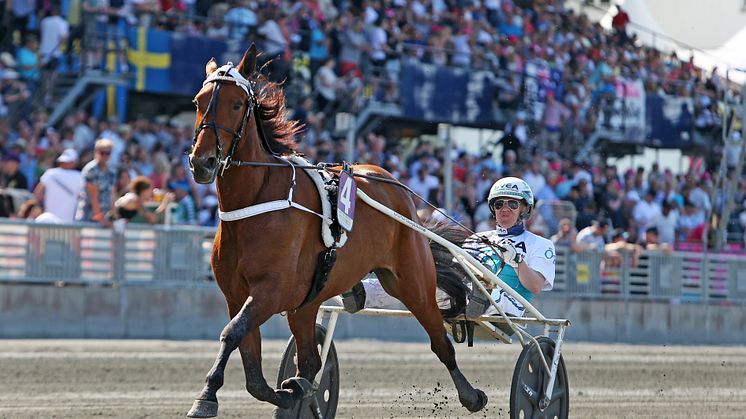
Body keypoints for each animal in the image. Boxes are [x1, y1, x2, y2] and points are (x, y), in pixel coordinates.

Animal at [186, 44, 488, 418]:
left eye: (237, 104)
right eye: (198, 101)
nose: (202, 162)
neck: (255, 202)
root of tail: (394, 184)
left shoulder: (270, 291)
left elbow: (231, 334)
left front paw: (206, 397)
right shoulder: (237, 295)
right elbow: (253, 369)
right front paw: (290, 391)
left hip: (413, 283)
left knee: (440, 341)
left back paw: (471, 394)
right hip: (307, 303)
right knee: (311, 361)